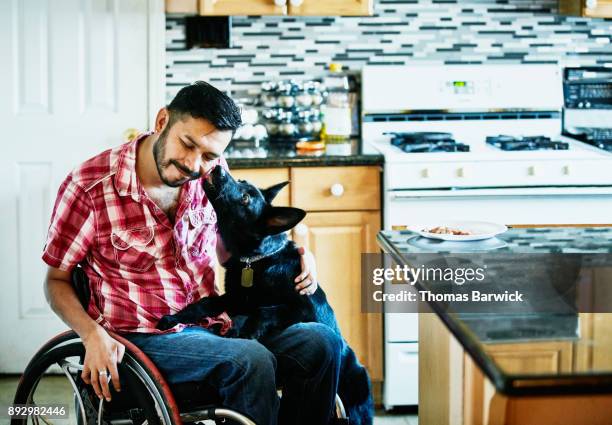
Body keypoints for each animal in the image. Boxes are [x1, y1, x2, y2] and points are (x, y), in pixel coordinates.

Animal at [157, 165, 372, 424]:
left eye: (245, 198)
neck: (254, 261)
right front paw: (174, 318)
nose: (218, 168)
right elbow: (205, 303)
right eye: (241, 181)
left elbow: (265, 310)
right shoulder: (234, 298)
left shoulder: (297, 308)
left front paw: (244, 332)